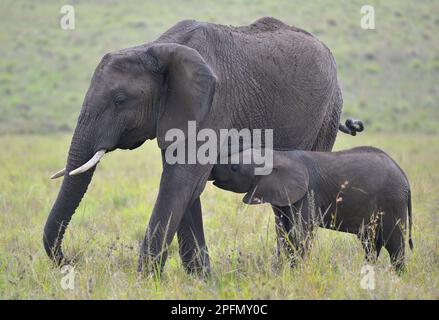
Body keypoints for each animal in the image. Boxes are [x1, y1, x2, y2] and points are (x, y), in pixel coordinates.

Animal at [44, 17, 362, 276]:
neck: (156, 48)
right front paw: (202, 280)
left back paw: (293, 270)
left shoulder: (213, 105)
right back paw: (283, 269)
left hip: (326, 114)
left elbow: (181, 181)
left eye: (120, 100)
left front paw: (146, 281)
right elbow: (186, 187)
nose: (71, 261)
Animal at [211, 146, 414, 272]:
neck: (279, 154)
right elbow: (285, 233)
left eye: (234, 167)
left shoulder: (308, 195)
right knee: (371, 243)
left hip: (393, 202)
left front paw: (297, 272)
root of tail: (405, 177)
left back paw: (398, 277)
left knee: (394, 245)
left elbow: (299, 233)